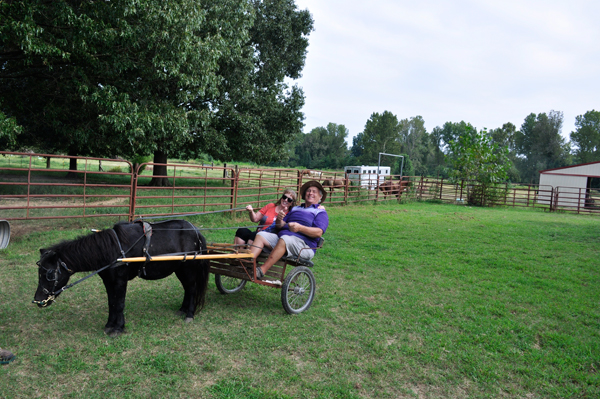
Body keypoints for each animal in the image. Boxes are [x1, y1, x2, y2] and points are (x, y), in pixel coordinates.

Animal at [35, 220, 210, 336]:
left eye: (49, 274)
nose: (38, 300)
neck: (112, 249)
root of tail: (196, 231)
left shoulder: (120, 280)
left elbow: (119, 303)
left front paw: (118, 328)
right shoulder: (108, 281)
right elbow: (111, 303)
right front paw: (109, 324)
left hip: (188, 268)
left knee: (192, 289)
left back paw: (189, 314)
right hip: (179, 269)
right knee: (187, 288)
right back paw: (183, 310)